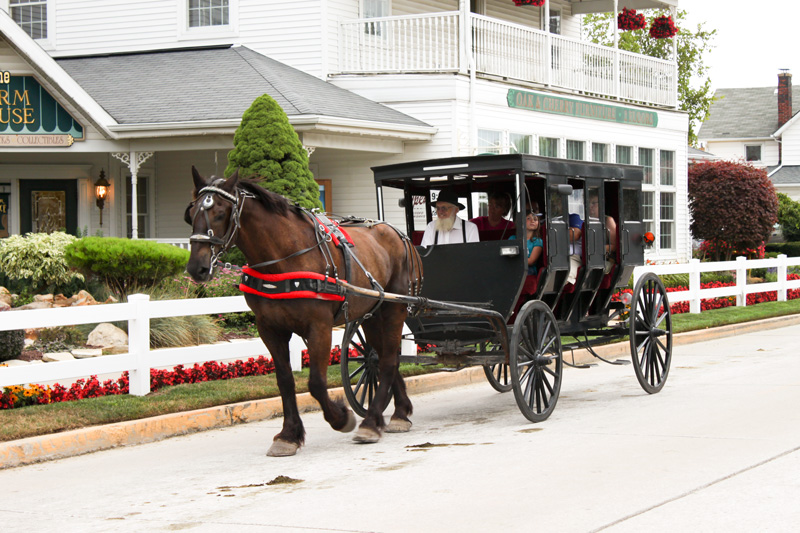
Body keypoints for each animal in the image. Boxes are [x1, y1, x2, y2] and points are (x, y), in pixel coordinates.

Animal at [185, 167, 424, 458]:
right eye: (191, 213)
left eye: (220, 213)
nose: (196, 267)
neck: (284, 257)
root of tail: (399, 234)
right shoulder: (270, 328)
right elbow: (285, 381)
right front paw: (289, 435)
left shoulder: (319, 326)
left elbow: (316, 383)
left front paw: (341, 418)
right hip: (371, 313)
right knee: (383, 357)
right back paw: (398, 413)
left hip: (394, 308)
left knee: (388, 359)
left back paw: (371, 422)